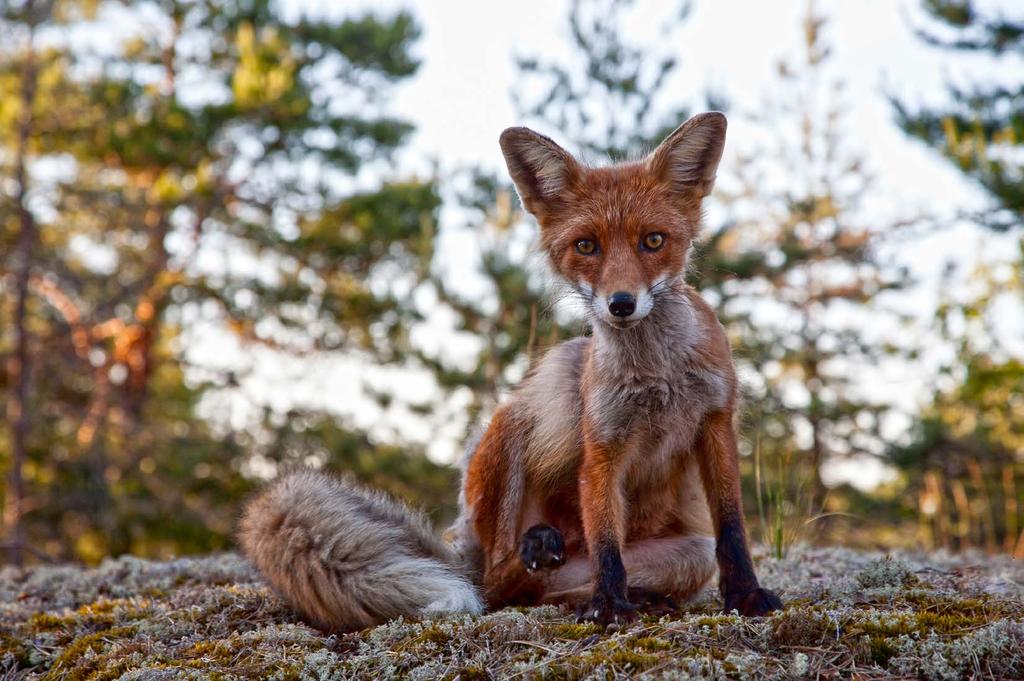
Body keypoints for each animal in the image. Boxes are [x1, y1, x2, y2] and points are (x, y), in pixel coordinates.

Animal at [239, 111, 782, 630]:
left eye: (653, 241)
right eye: (586, 246)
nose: (621, 304)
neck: (659, 376)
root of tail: (467, 553)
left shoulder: (716, 423)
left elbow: (731, 528)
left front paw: (746, 596)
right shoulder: (601, 444)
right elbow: (606, 538)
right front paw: (610, 606)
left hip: (686, 555)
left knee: (543, 590)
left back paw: (626, 592)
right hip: (536, 406)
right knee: (498, 583)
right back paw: (539, 550)